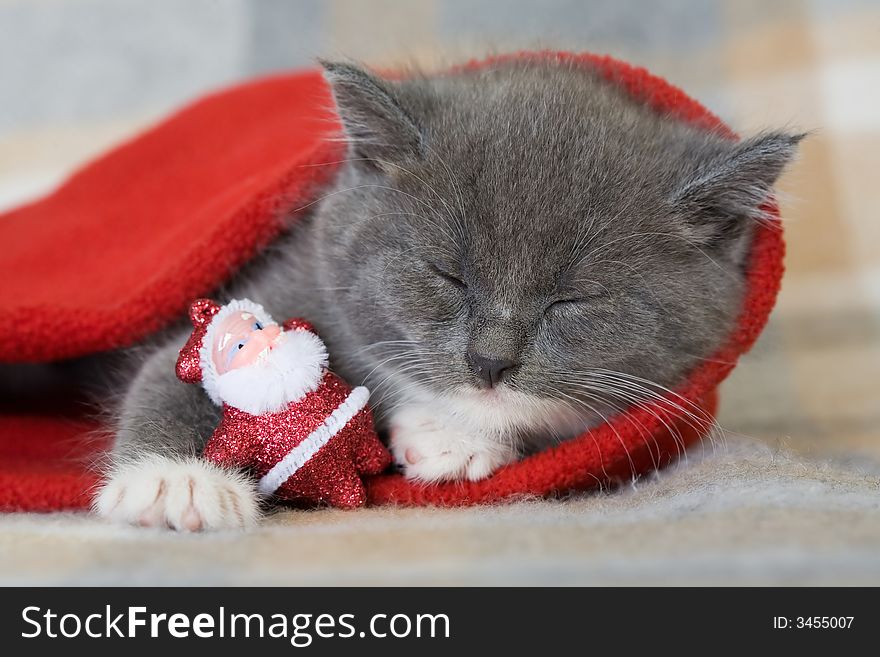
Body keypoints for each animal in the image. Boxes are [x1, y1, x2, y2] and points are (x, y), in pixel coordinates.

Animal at [93, 55, 800, 528]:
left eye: (573, 301)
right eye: (446, 276)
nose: (490, 360)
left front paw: (453, 438)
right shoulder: (295, 275)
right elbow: (169, 369)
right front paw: (174, 482)